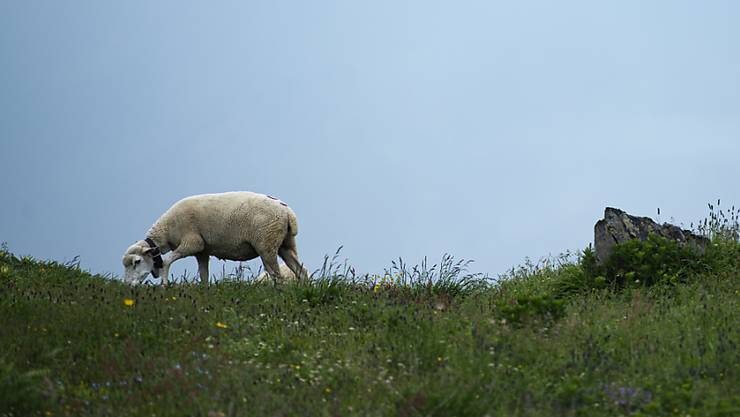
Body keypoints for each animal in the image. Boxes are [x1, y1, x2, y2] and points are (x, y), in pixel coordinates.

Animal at [123, 191, 308, 282]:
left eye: (137, 262)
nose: (129, 286)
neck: (167, 230)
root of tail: (287, 211)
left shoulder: (192, 243)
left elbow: (167, 262)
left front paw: (164, 285)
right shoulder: (202, 252)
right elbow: (204, 275)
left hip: (266, 244)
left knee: (277, 275)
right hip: (285, 244)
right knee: (300, 270)